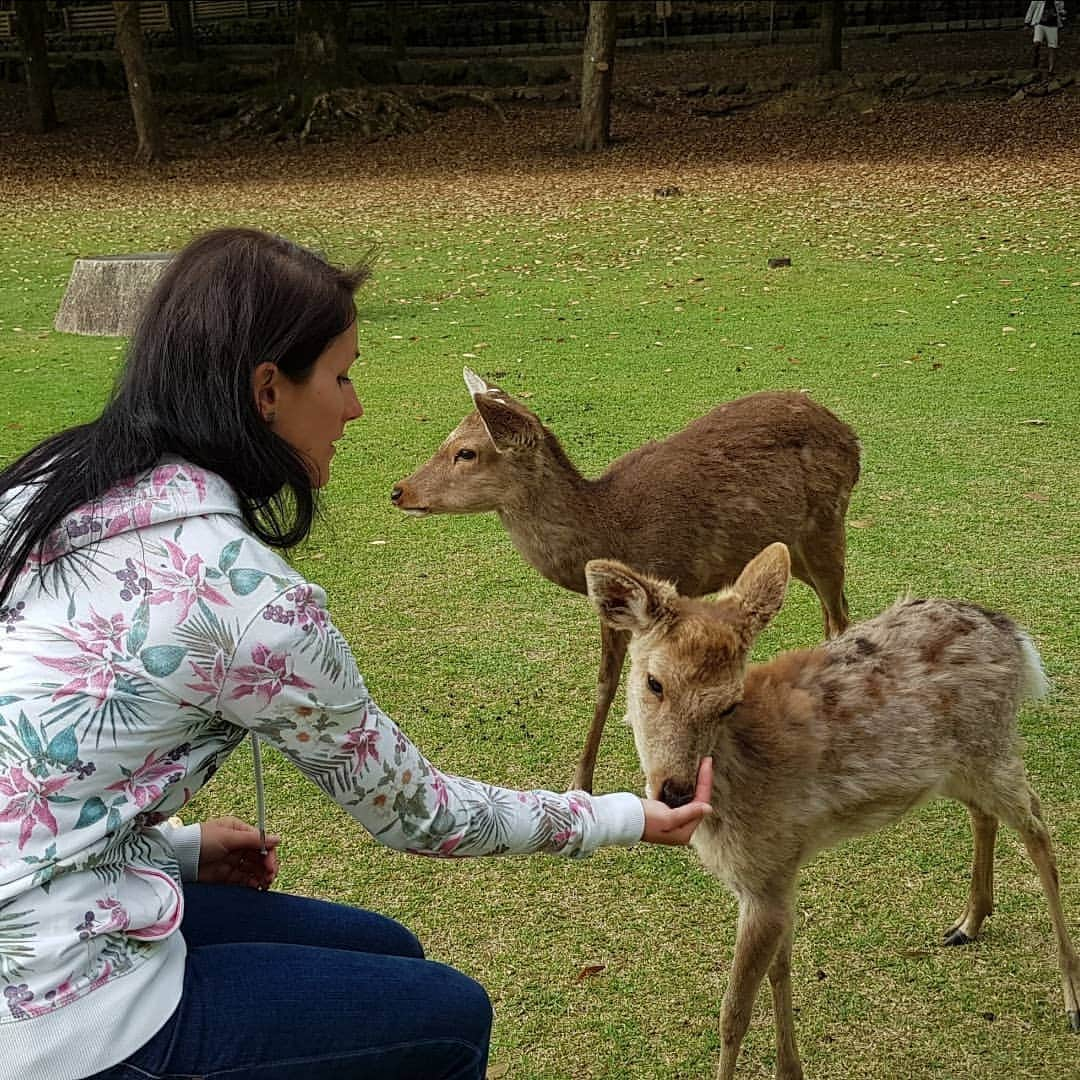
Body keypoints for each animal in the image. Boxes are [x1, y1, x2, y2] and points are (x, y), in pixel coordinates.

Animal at [390, 371, 859, 794]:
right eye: (446, 440)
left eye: (466, 452)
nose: (399, 490)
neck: (609, 528)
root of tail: (852, 437)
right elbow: (605, 683)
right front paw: (583, 778)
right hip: (791, 545)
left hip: (827, 521)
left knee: (839, 615)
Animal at [587, 540, 1080, 1080]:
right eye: (654, 682)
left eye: (729, 703)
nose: (674, 790)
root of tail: (1015, 637)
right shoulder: (779, 871)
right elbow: (780, 969)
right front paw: (790, 1069)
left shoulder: (765, 875)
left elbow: (733, 1012)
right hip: (956, 766)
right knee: (986, 814)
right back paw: (967, 924)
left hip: (992, 746)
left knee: (1038, 827)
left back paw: (1071, 998)